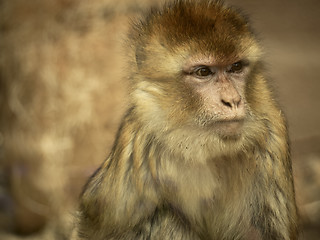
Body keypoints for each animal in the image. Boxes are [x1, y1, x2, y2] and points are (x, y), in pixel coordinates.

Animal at [72, 0, 298, 239]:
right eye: (203, 72)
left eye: (236, 67)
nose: (232, 100)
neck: (203, 147)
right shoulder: (139, 141)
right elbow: (94, 223)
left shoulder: (273, 132)